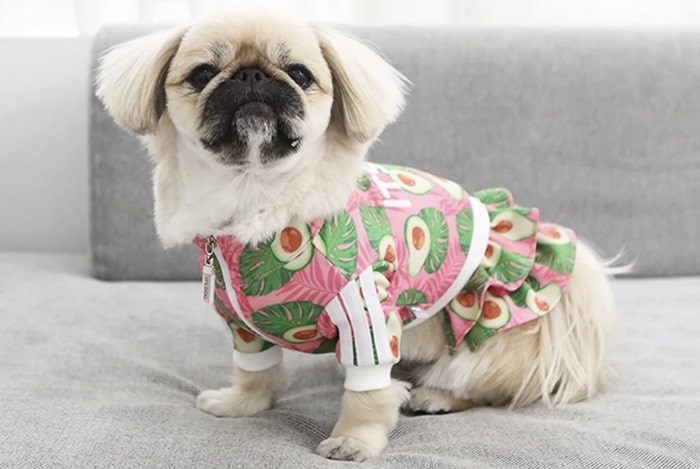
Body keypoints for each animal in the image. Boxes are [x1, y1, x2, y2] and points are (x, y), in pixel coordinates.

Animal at [95, 11, 620, 460]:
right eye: (203, 73)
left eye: (300, 73)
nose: (251, 76)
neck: (257, 197)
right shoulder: (240, 324)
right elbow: (254, 371)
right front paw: (242, 403)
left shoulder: (364, 309)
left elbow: (366, 393)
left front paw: (354, 440)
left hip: (483, 346)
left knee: (483, 386)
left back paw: (435, 394)